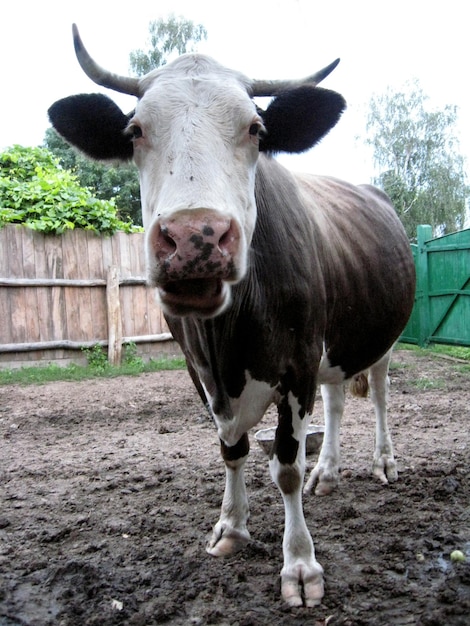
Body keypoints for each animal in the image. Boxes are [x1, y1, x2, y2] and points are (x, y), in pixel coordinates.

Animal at [48, 26, 414, 608]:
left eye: (256, 128)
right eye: (135, 130)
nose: (196, 238)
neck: (226, 341)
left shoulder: (297, 363)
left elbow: (286, 467)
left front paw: (300, 565)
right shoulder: (201, 371)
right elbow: (232, 451)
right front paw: (232, 527)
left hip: (380, 338)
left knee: (377, 393)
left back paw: (383, 462)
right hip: (331, 344)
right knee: (336, 402)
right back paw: (329, 472)